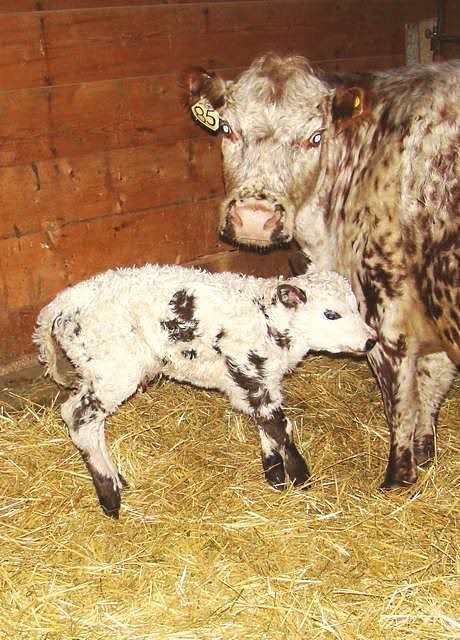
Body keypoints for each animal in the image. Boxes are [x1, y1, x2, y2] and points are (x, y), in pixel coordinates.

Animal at [184, 53, 460, 490]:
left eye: (315, 137)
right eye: (227, 128)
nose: (254, 217)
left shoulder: (386, 316)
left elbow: (401, 405)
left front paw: (397, 481)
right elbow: (431, 391)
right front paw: (426, 457)